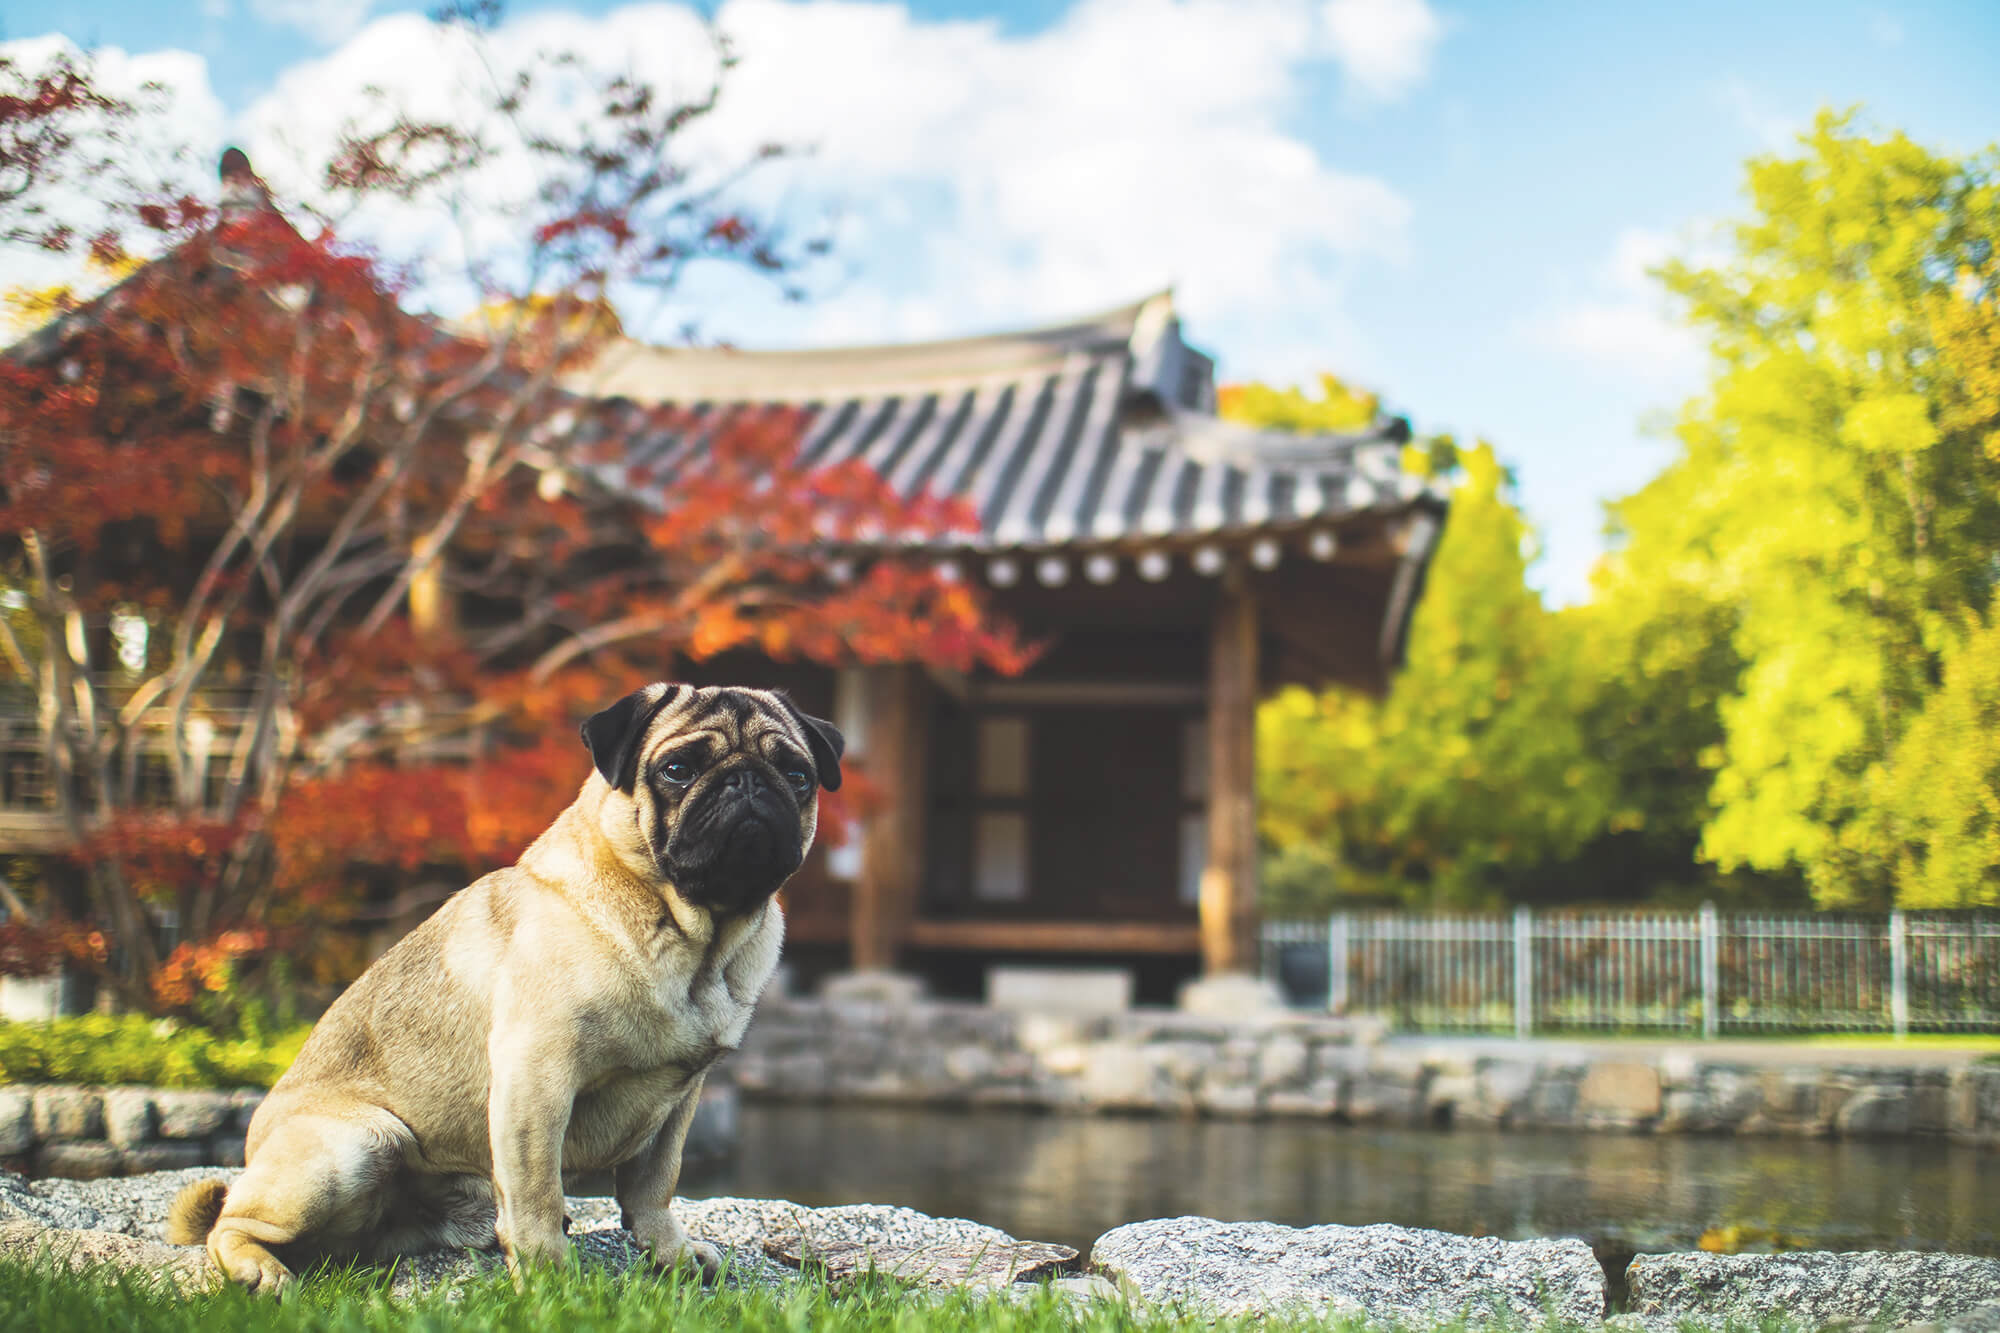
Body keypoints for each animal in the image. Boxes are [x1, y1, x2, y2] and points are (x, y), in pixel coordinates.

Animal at [160, 680, 836, 1280]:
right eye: (677, 769)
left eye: (797, 774)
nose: (747, 781)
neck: (693, 935)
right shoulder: (537, 1077)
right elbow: (537, 1190)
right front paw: (548, 1281)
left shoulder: (680, 1098)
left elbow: (654, 1185)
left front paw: (669, 1254)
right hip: (360, 1143)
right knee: (228, 1225)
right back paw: (258, 1270)